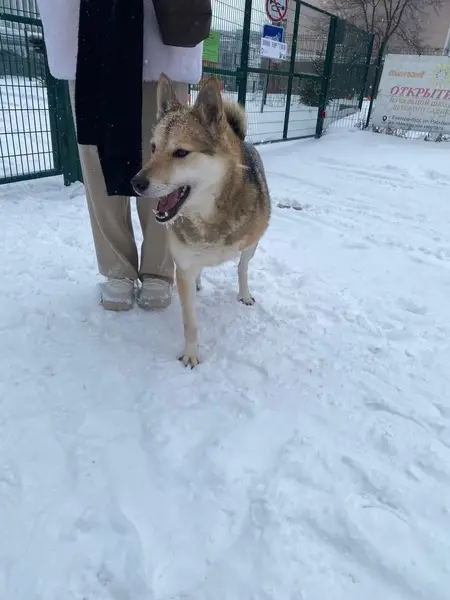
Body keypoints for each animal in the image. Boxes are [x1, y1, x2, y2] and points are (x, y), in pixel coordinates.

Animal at [132, 74, 271, 367]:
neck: (209, 217)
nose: (135, 182)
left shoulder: (251, 240)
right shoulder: (183, 265)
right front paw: (191, 353)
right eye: (153, 148)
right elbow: (190, 322)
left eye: (181, 153)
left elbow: (242, 267)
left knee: (242, 268)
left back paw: (243, 293)